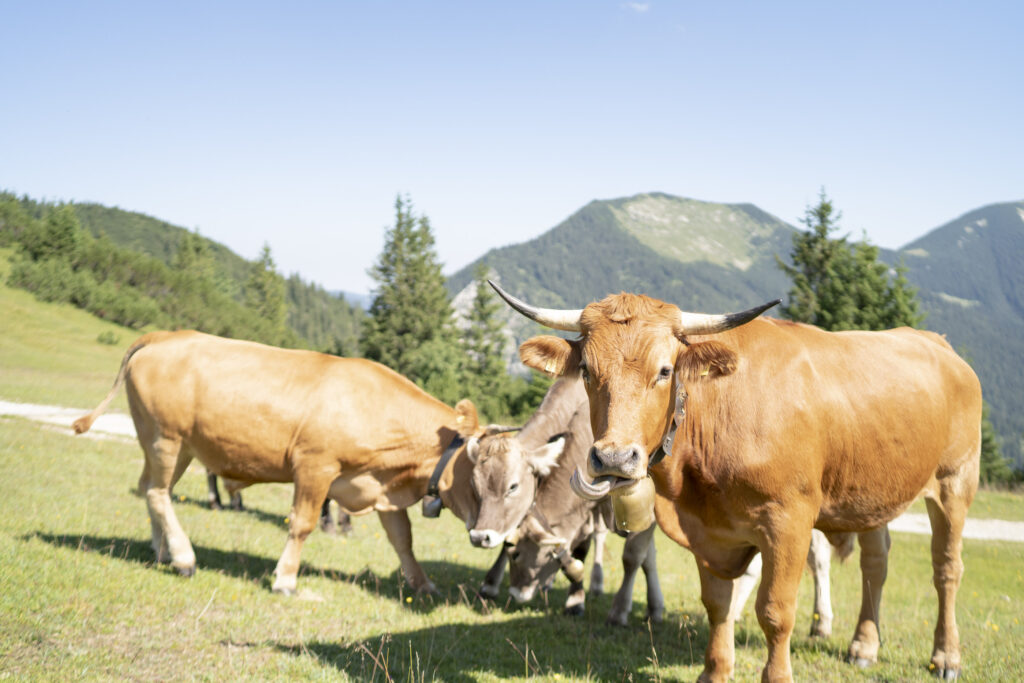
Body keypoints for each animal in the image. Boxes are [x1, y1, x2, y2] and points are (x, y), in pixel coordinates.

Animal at [74, 329, 481, 593]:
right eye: (483, 471)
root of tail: (161, 336)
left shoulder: (379, 485)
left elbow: (402, 538)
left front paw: (423, 583)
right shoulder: (315, 467)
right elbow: (302, 524)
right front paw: (285, 578)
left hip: (177, 447)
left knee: (152, 489)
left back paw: (161, 551)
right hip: (165, 438)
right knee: (158, 493)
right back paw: (183, 557)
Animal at [491, 280, 987, 679]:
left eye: (665, 371)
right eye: (587, 371)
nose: (613, 456)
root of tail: (937, 343)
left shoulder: (789, 522)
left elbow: (775, 611)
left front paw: (777, 674)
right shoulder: (707, 530)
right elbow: (718, 605)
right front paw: (715, 672)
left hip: (954, 481)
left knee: (947, 569)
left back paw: (946, 657)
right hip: (871, 491)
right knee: (876, 562)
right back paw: (863, 645)